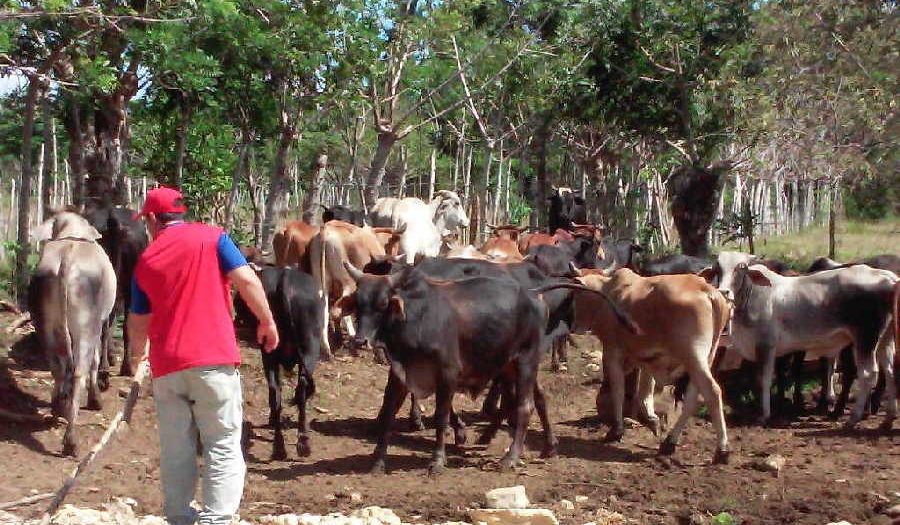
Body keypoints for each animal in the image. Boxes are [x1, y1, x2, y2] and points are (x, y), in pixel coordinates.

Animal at [29, 212, 117, 454]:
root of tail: (68, 255)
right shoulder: (100, 322)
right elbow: (95, 360)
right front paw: (96, 399)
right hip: (87, 326)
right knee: (79, 372)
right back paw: (70, 440)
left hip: (45, 325)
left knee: (58, 368)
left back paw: (57, 408)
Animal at [234, 266, 326, 458]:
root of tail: (285, 278)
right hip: (307, 350)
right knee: (300, 388)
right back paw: (302, 442)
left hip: (272, 354)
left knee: (275, 391)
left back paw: (280, 447)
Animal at [336, 264, 552, 472]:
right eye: (358, 304)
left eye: (382, 304)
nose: (360, 341)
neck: (417, 320)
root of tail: (533, 294)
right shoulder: (400, 374)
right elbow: (388, 414)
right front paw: (378, 461)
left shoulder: (447, 375)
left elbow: (441, 417)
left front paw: (438, 461)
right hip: (508, 366)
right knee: (530, 399)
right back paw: (545, 447)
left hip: (526, 362)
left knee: (525, 406)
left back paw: (511, 458)